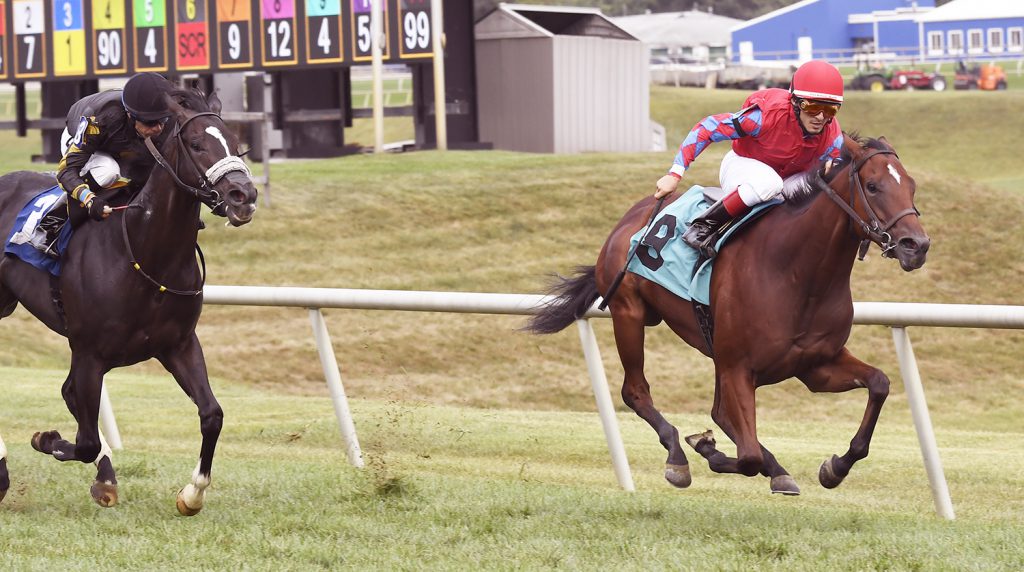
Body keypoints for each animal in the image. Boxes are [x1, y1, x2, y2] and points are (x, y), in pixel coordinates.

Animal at [0, 88, 258, 515]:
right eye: (196, 144)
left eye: (236, 144)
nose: (244, 196)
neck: (145, 252)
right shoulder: (89, 353)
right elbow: (84, 441)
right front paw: (47, 440)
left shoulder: (178, 345)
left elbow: (212, 414)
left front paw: (192, 494)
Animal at [528, 135, 929, 497]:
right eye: (873, 186)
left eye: (911, 186)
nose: (917, 246)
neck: (796, 272)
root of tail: (634, 214)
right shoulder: (739, 365)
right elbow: (748, 455)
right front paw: (706, 449)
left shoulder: (815, 365)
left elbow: (879, 383)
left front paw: (835, 467)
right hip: (630, 313)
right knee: (636, 391)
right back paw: (678, 455)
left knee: (721, 413)